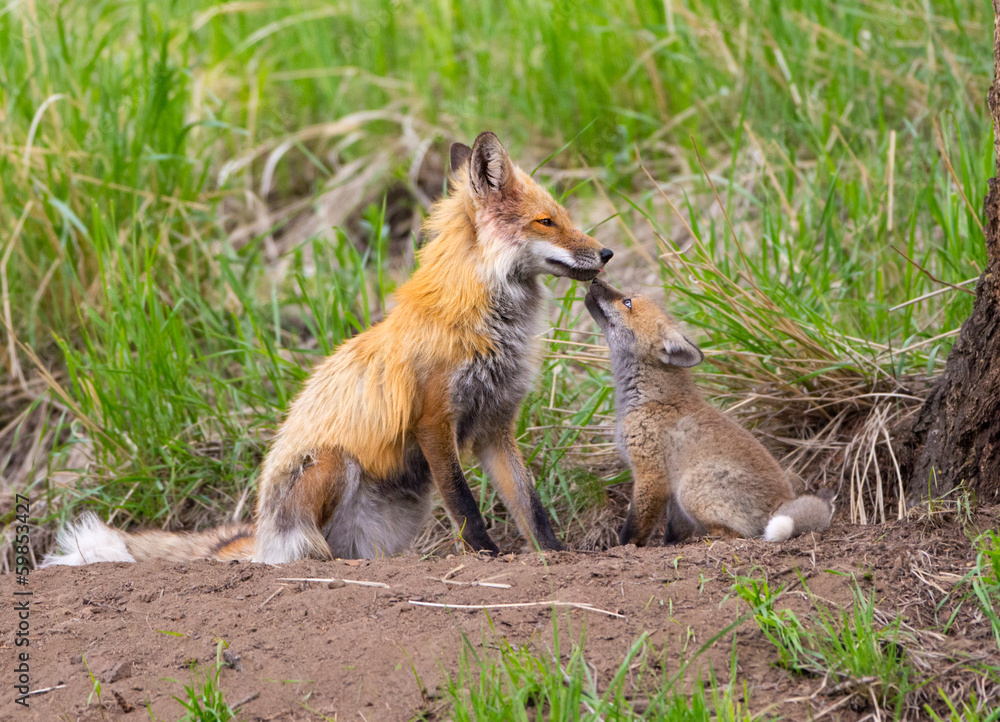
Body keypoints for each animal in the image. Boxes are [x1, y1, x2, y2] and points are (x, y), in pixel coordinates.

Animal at [43, 132, 613, 567]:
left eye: (564, 216)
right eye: (547, 221)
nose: (606, 252)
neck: (479, 320)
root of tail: (262, 537)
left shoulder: (496, 425)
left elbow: (531, 506)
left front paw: (557, 555)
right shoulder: (434, 420)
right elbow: (467, 507)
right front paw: (488, 558)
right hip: (333, 463)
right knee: (308, 552)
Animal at [584, 279, 834, 546]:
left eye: (627, 302)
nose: (595, 280)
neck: (651, 400)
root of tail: (782, 503)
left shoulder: (651, 474)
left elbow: (634, 529)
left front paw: (626, 547)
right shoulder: (671, 489)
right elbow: (674, 531)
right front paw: (671, 544)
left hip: (691, 487)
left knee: (735, 534)